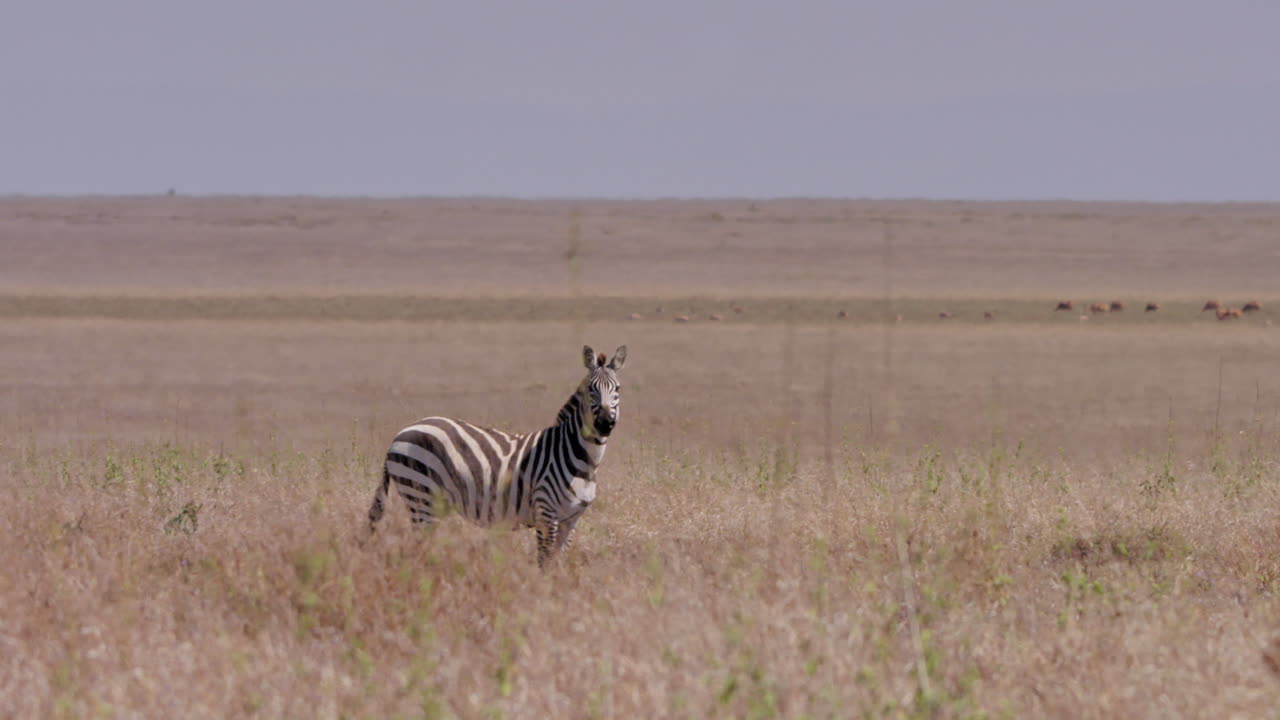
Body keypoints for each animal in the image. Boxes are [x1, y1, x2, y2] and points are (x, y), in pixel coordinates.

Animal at [367, 344, 627, 567]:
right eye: (590, 389)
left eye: (617, 389)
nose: (605, 424)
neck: (579, 457)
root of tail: (399, 434)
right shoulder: (545, 512)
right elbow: (544, 563)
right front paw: (542, 592)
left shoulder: (570, 519)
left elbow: (556, 562)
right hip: (422, 498)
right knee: (417, 550)